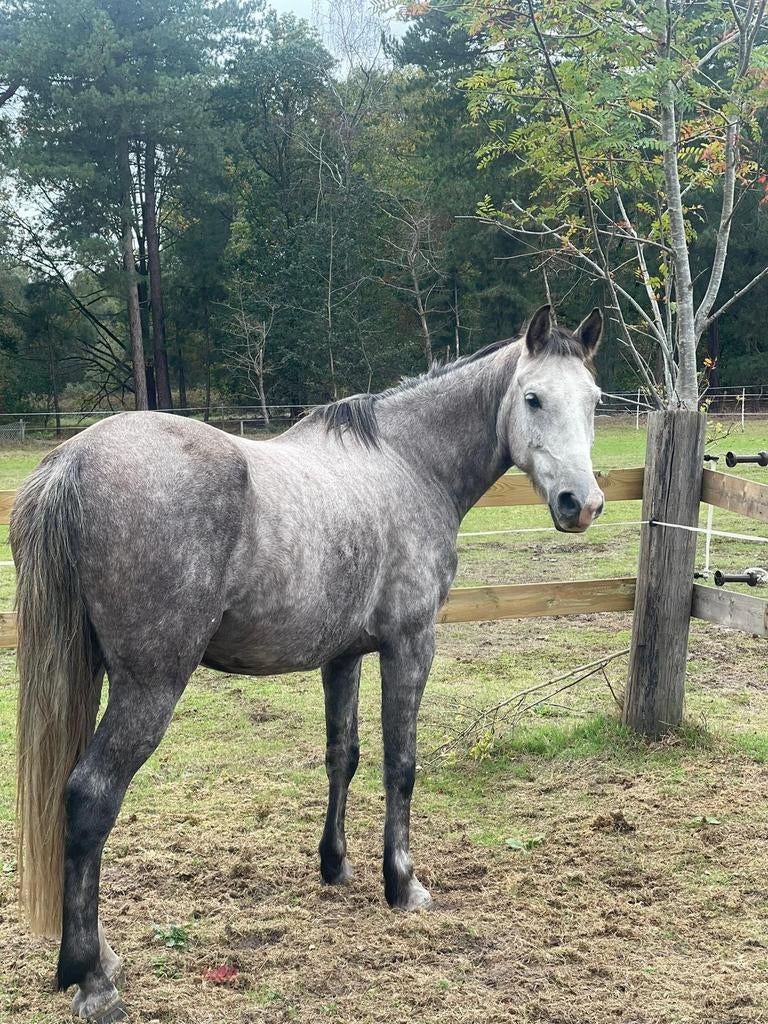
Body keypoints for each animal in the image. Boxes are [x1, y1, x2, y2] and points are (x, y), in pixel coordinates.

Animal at [11, 303, 605, 1022]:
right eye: (533, 397)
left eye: (595, 402)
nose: (582, 504)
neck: (409, 462)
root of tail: (72, 459)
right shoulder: (411, 644)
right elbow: (401, 764)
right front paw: (402, 885)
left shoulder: (342, 656)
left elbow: (341, 756)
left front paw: (335, 866)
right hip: (149, 685)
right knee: (91, 797)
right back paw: (92, 977)